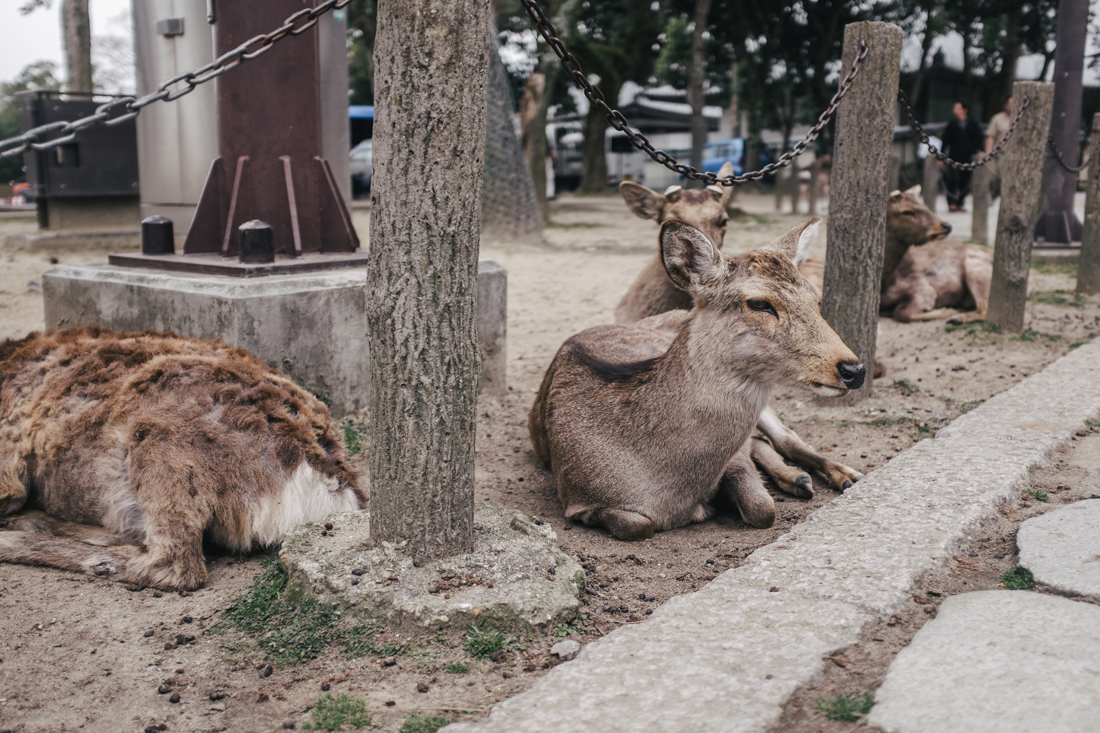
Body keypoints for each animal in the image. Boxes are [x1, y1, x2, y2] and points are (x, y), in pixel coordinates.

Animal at [530, 216, 866, 537]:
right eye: (759, 303)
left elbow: (762, 508)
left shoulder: (734, 457)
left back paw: (845, 476)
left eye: (817, 299)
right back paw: (799, 478)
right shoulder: (576, 499)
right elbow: (637, 525)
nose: (854, 369)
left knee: (785, 436)